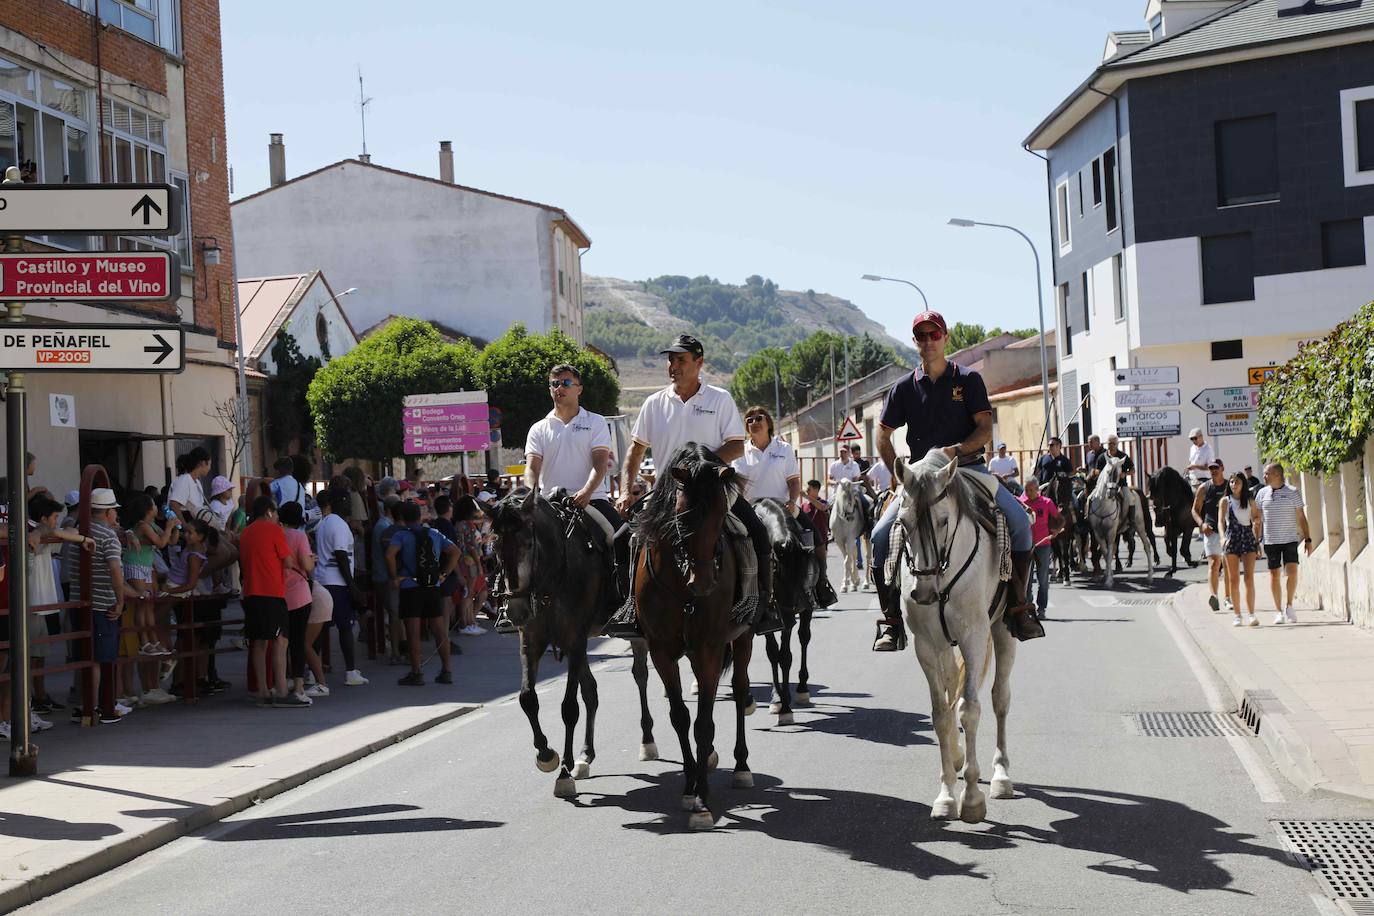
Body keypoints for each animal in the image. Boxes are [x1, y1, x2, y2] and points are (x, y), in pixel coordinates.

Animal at [480, 486, 656, 796]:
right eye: (496, 548)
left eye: (528, 544)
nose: (515, 611)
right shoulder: (532, 641)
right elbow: (528, 698)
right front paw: (546, 754)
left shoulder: (574, 640)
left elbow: (569, 707)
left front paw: (562, 773)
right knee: (592, 692)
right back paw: (585, 756)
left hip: (629, 635)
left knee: (640, 675)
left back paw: (647, 740)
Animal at [629, 444, 758, 829]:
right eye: (682, 517)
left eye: (719, 518)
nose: (702, 583)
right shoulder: (661, 651)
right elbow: (681, 718)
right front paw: (689, 787)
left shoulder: (708, 649)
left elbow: (703, 724)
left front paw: (702, 800)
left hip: (743, 638)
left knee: (741, 690)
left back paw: (741, 767)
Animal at [758, 497, 818, 725]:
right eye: (777, 573)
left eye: (805, 572)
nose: (792, 609)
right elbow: (773, 654)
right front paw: (777, 699)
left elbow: (785, 656)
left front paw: (785, 707)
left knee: (804, 638)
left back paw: (801, 689)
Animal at [890, 450, 1022, 823]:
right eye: (903, 522)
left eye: (944, 520)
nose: (922, 593)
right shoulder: (926, 645)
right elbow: (940, 714)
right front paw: (947, 795)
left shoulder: (973, 636)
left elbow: (969, 709)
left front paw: (973, 799)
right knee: (952, 686)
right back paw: (958, 754)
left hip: (1003, 630)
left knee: (1000, 698)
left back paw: (1002, 776)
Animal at [1088, 455, 1154, 590]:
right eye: (1108, 472)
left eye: (1119, 474)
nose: (1112, 493)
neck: (1103, 506)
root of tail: (1136, 492)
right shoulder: (1097, 533)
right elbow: (1106, 552)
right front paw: (1107, 576)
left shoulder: (1111, 532)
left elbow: (1109, 554)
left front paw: (1109, 581)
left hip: (1140, 526)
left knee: (1147, 546)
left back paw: (1150, 576)